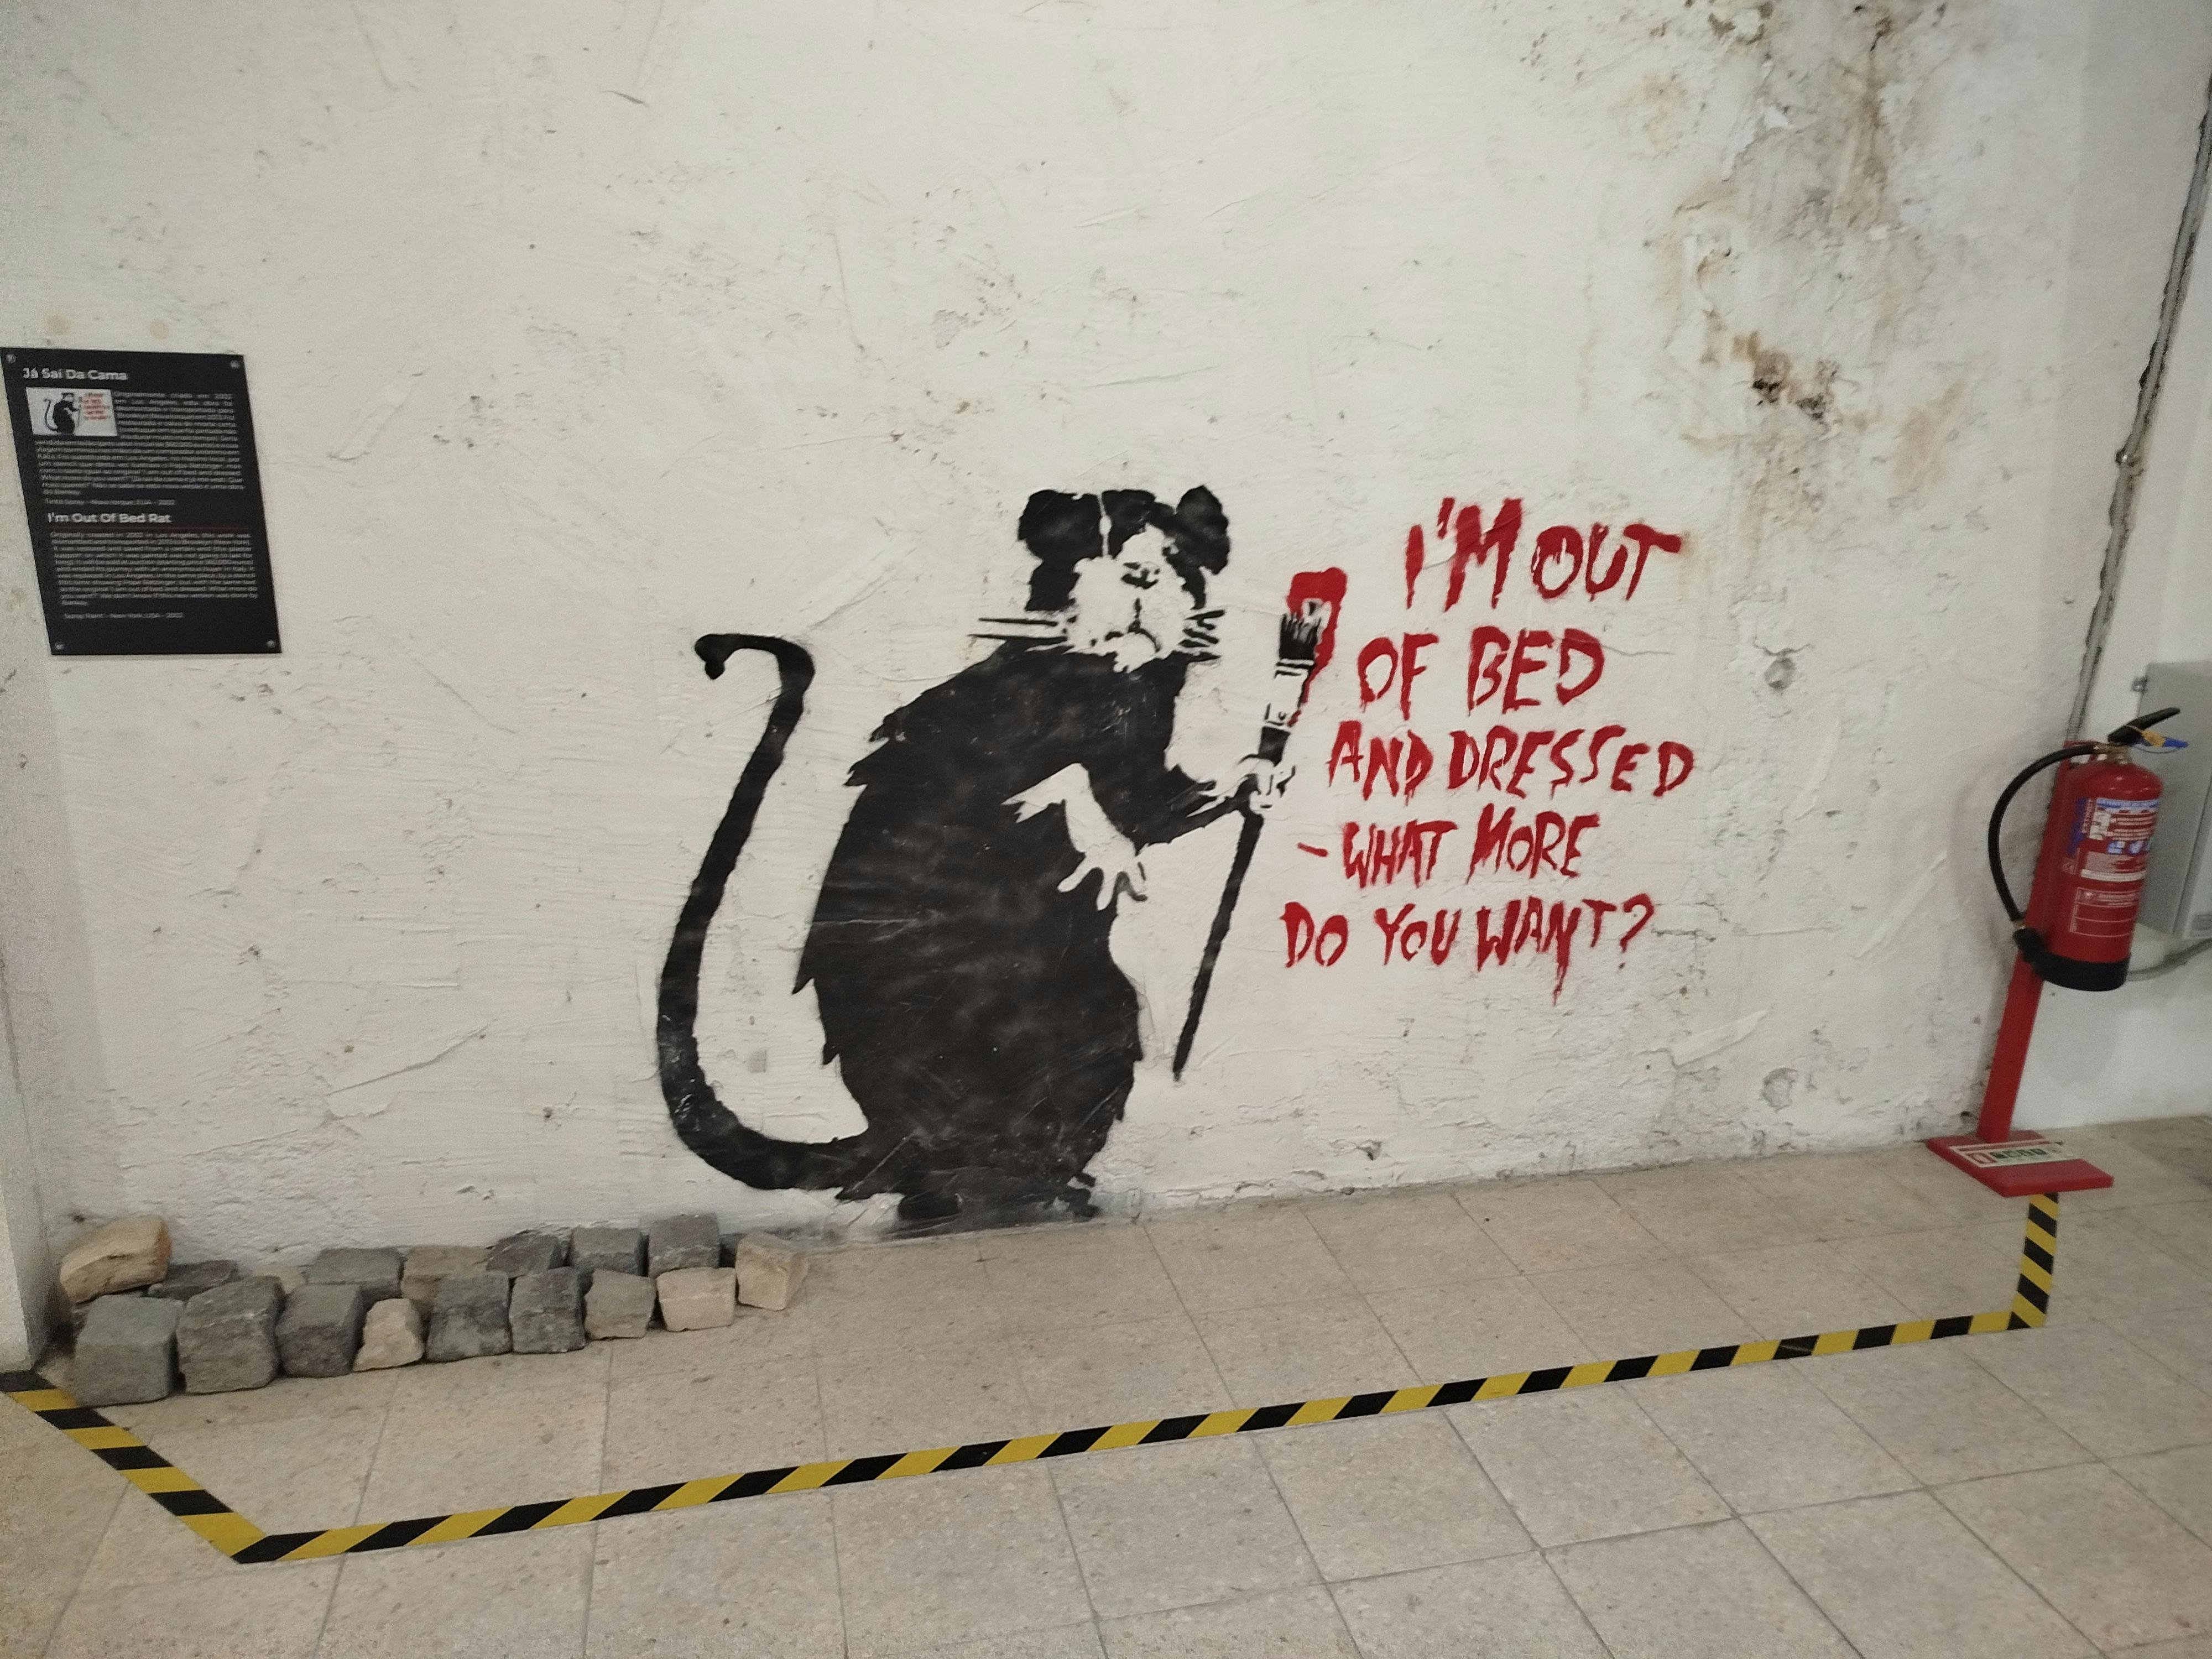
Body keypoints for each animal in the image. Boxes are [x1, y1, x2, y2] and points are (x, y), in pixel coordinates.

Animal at [658, 486, 1267, 1226]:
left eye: (1176, 554)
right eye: (1096, 545)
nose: (1143, 574)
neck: (1106, 689)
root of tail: (885, 1137)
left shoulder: (1145, 747)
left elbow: (1158, 801)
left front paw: (1255, 774)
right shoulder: (977, 742)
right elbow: (1052, 782)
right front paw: (1103, 846)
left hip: (1104, 1016)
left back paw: (1050, 1188)